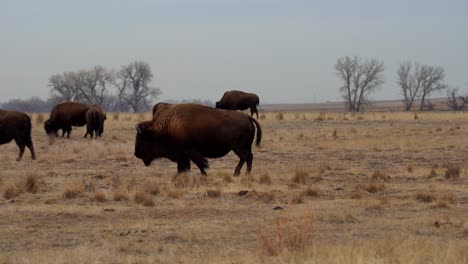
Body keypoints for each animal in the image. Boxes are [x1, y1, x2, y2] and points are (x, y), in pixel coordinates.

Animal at [134, 102, 264, 175]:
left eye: (141, 139)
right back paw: (245, 174)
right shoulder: (183, 156)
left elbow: (200, 164)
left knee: (245, 157)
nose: (136, 154)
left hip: (238, 148)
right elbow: (184, 168)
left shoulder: (189, 153)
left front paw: (204, 175)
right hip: (244, 147)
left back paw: (237, 173)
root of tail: (247, 117)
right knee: (249, 157)